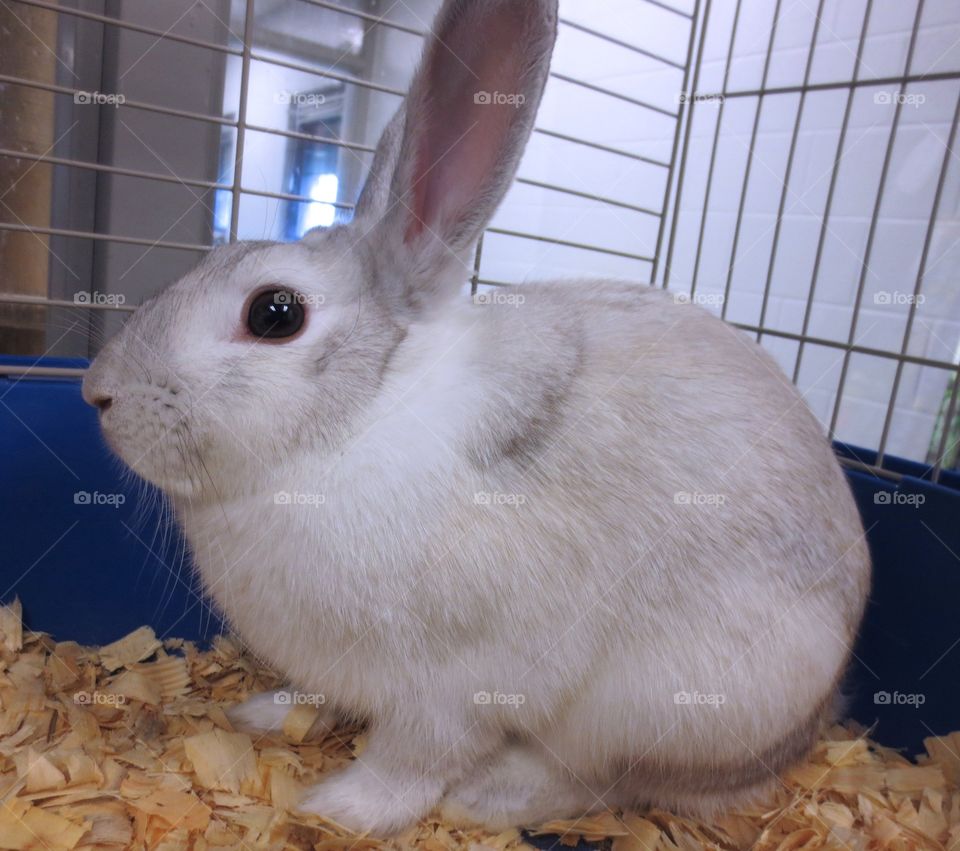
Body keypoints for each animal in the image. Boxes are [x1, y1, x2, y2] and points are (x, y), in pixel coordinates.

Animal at [82, 0, 871, 836]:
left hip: (659, 706)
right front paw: (267, 714)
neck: (359, 416)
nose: (97, 391)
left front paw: (341, 808)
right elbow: (317, 696)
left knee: (604, 780)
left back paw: (490, 794)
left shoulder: (448, 687)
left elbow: (412, 759)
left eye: (275, 313)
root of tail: (810, 724)